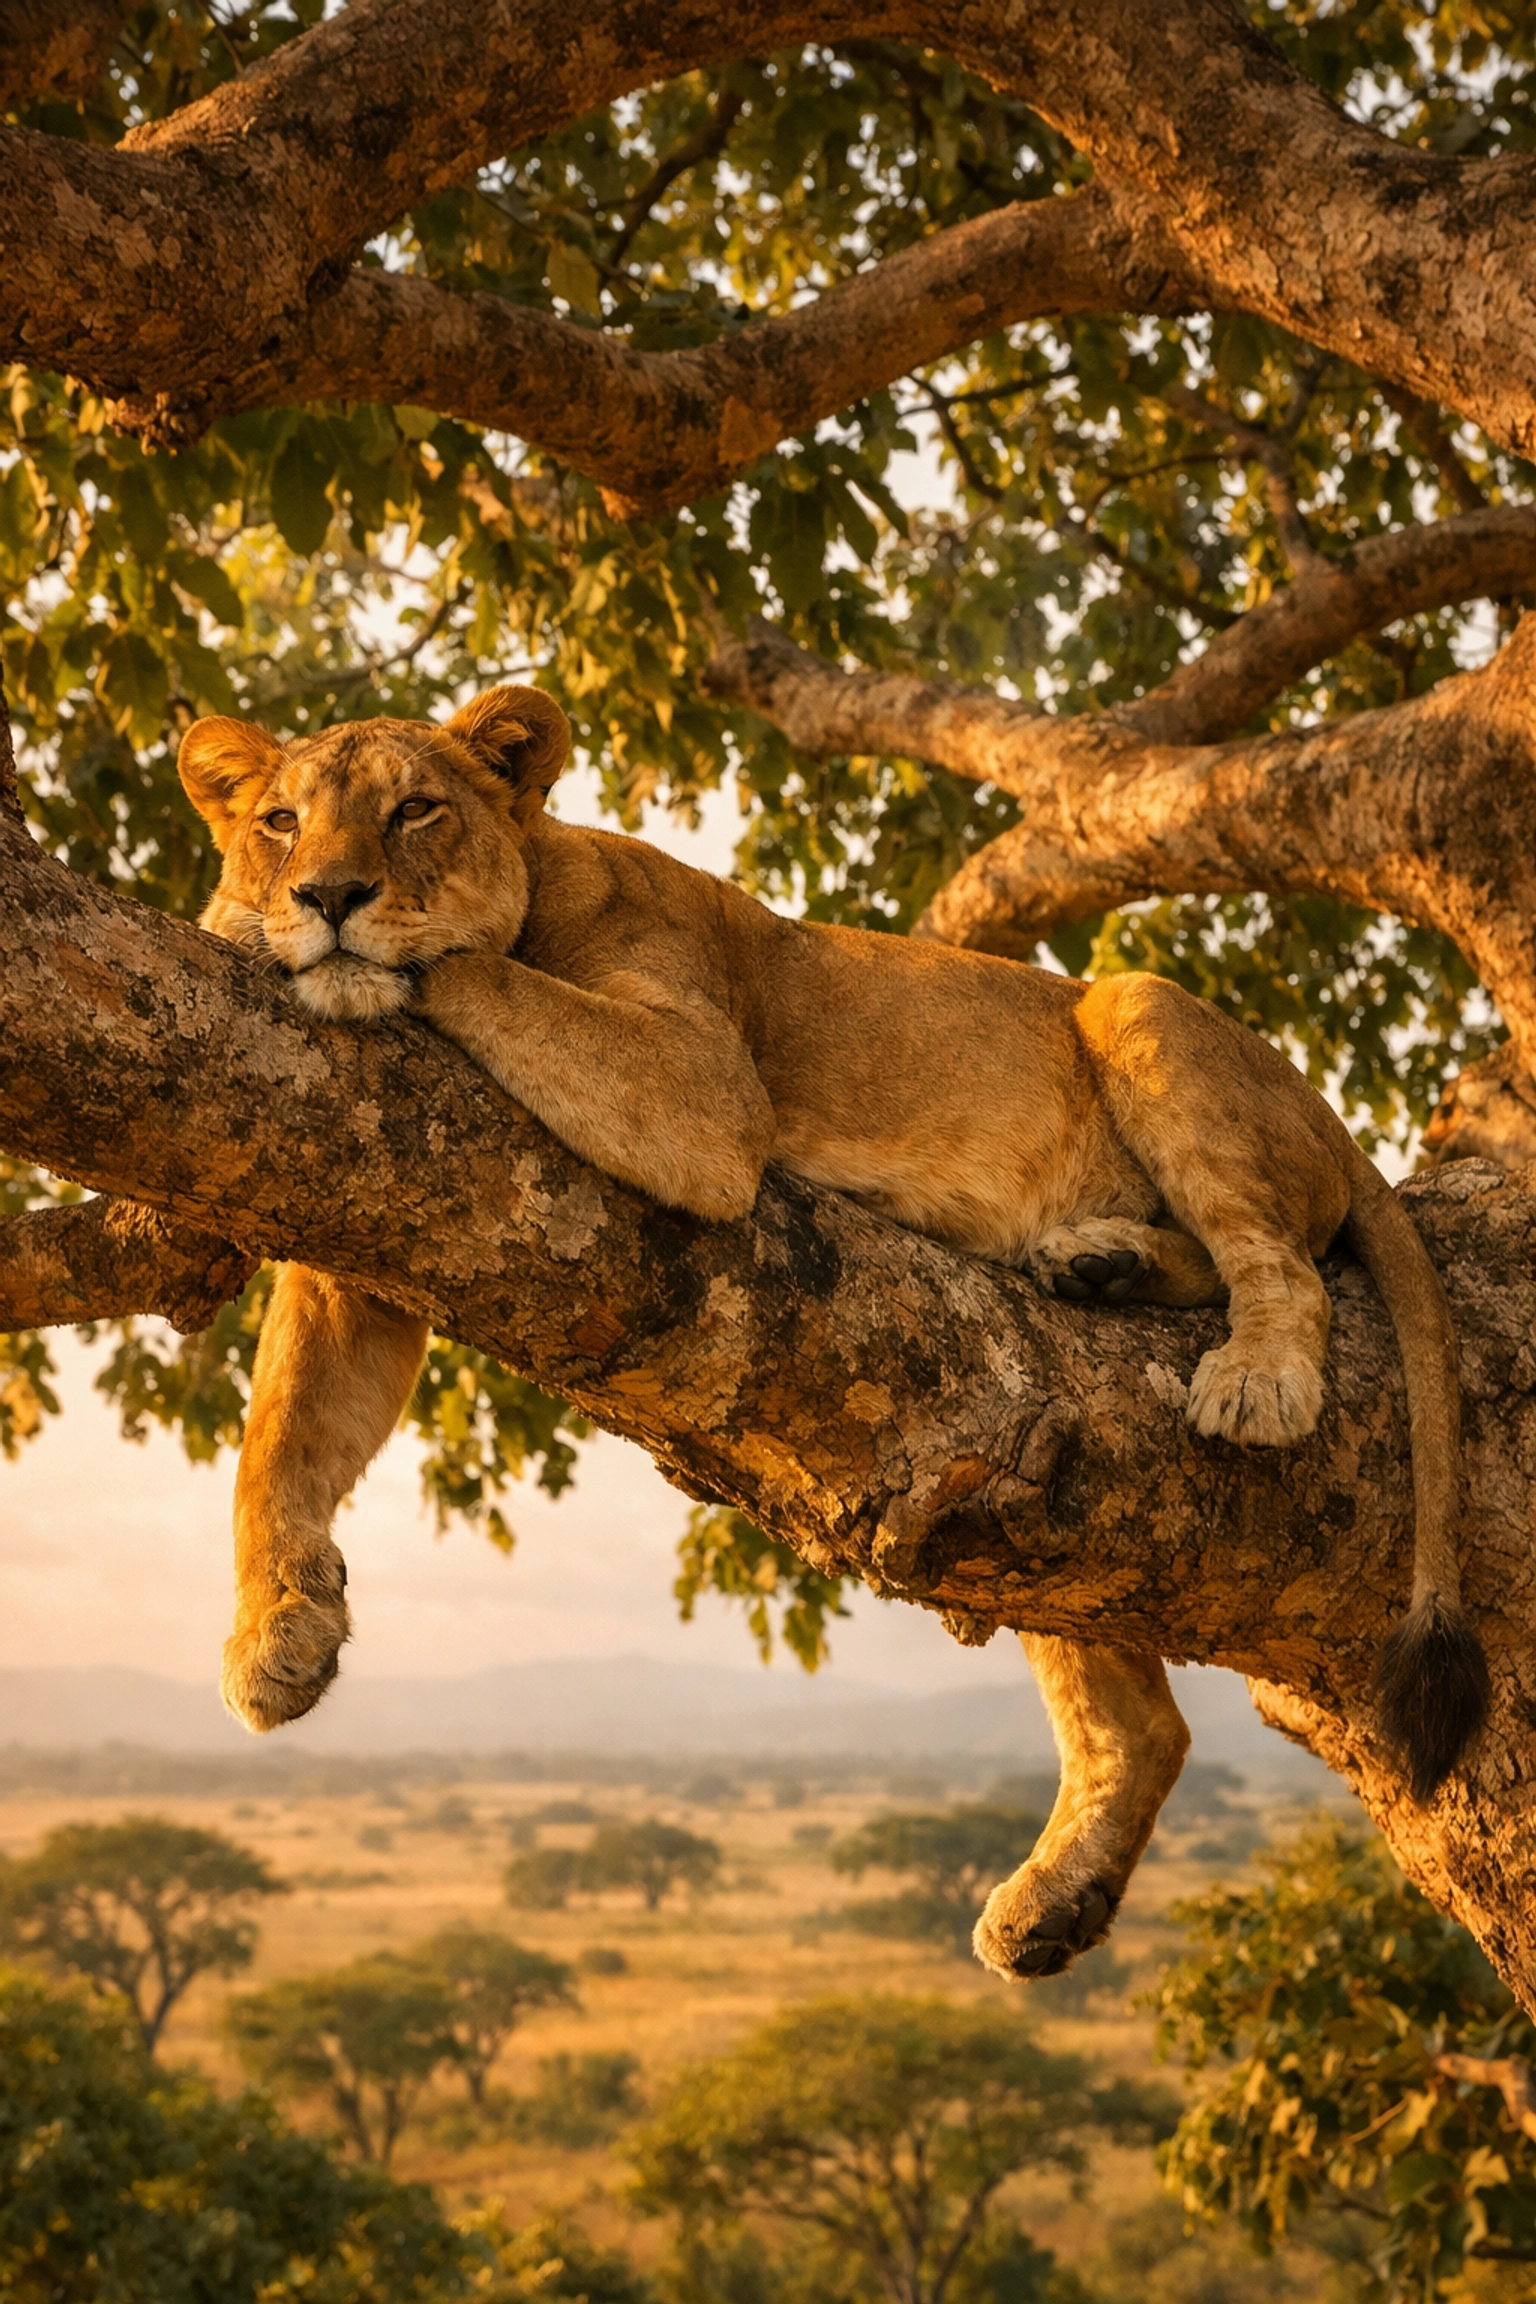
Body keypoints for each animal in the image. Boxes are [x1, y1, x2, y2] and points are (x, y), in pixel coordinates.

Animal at [177, 684, 1488, 1982]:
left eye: (415, 812)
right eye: (281, 821)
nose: (326, 897)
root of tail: (1339, 1133)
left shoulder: (703, 1088)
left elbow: (467, 972)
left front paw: (254, 930)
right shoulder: (374, 1210)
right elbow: (282, 1438)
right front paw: (273, 1635)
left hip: (1137, 1006)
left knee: (1279, 1262)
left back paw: (1252, 1373)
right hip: (1024, 1521)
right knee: (1143, 1719)